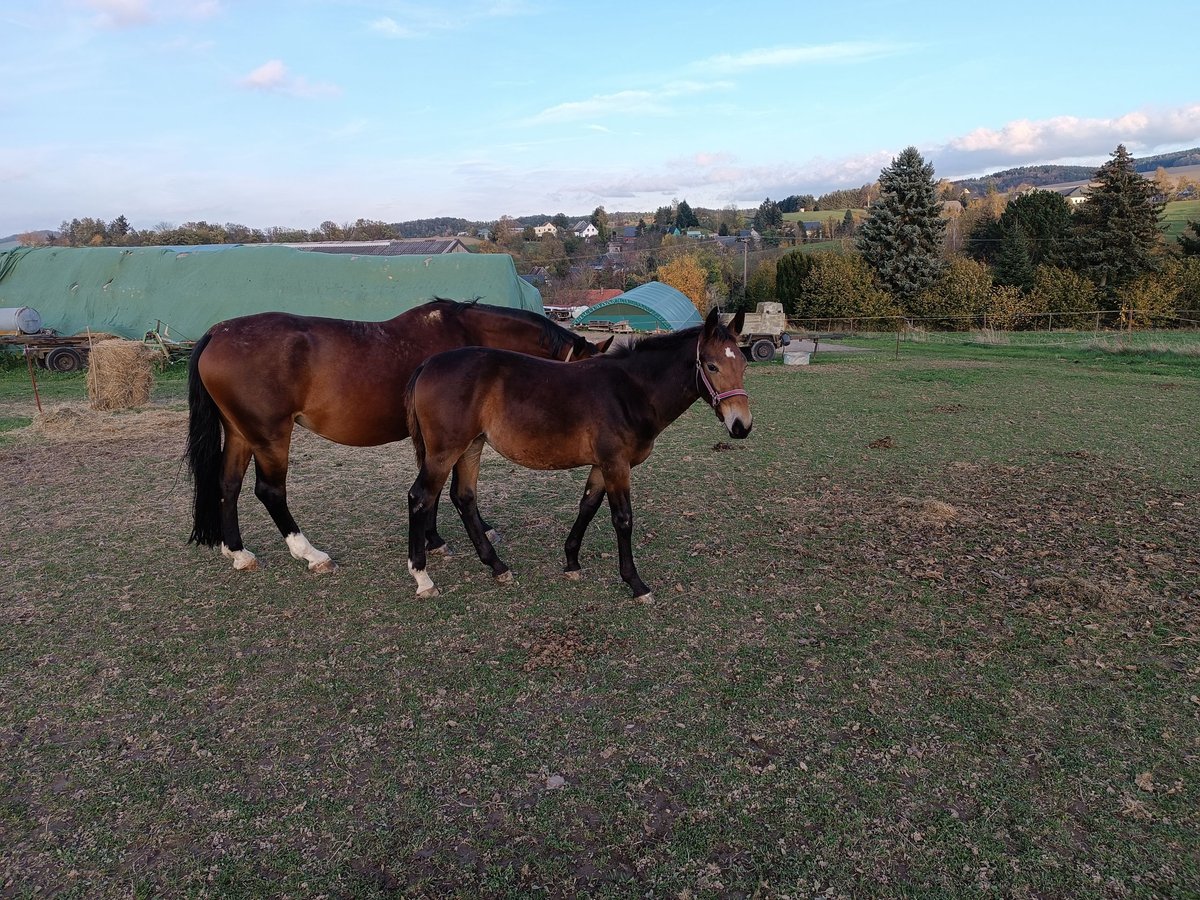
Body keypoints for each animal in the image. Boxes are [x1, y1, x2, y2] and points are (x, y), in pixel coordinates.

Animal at [186, 300, 609, 573]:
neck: (468, 335)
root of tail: (217, 333)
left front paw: (433, 540)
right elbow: (441, 489)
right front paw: (435, 542)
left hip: (240, 432)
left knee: (228, 483)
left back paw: (237, 552)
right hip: (270, 436)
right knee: (270, 491)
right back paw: (310, 554)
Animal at [412, 307, 748, 602]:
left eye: (744, 365)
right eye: (712, 366)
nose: (741, 425)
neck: (629, 391)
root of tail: (427, 365)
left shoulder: (602, 465)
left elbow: (587, 506)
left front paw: (571, 561)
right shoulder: (616, 465)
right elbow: (622, 519)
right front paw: (636, 583)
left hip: (471, 447)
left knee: (464, 497)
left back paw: (497, 566)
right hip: (444, 452)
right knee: (420, 497)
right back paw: (422, 577)